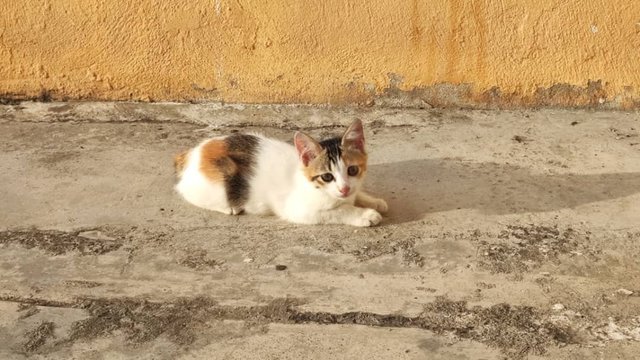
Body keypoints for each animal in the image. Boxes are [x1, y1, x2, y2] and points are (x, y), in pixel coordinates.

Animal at [172, 119, 388, 226]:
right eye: (327, 176)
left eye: (352, 170)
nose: (344, 189)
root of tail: (191, 154)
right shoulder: (300, 210)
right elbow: (339, 211)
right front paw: (365, 214)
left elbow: (356, 194)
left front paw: (374, 201)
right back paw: (230, 208)